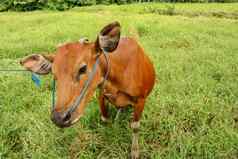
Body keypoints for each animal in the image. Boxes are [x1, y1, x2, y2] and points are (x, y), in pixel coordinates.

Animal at [20, 21, 154, 158]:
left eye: (83, 68)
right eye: (54, 73)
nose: (59, 118)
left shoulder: (141, 99)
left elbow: (135, 126)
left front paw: (135, 151)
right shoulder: (101, 94)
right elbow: (105, 118)